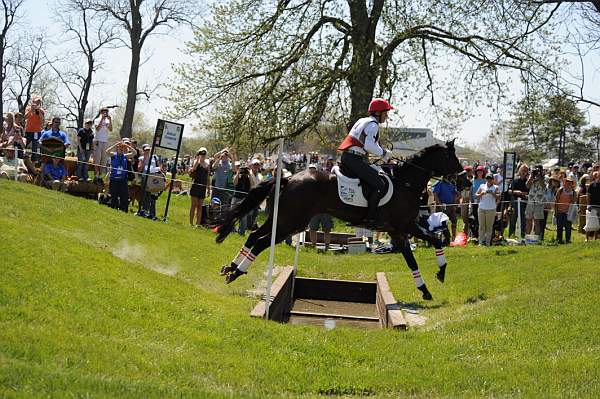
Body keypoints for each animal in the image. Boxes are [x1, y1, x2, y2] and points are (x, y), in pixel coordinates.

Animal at [214, 141, 468, 300]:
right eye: (452, 157)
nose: (465, 182)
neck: (406, 183)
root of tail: (289, 178)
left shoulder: (397, 231)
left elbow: (413, 259)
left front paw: (425, 289)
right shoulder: (405, 226)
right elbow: (435, 240)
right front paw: (440, 273)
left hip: (284, 220)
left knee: (255, 235)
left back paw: (231, 267)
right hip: (291, 223)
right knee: (260, 242)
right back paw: (235, 273)